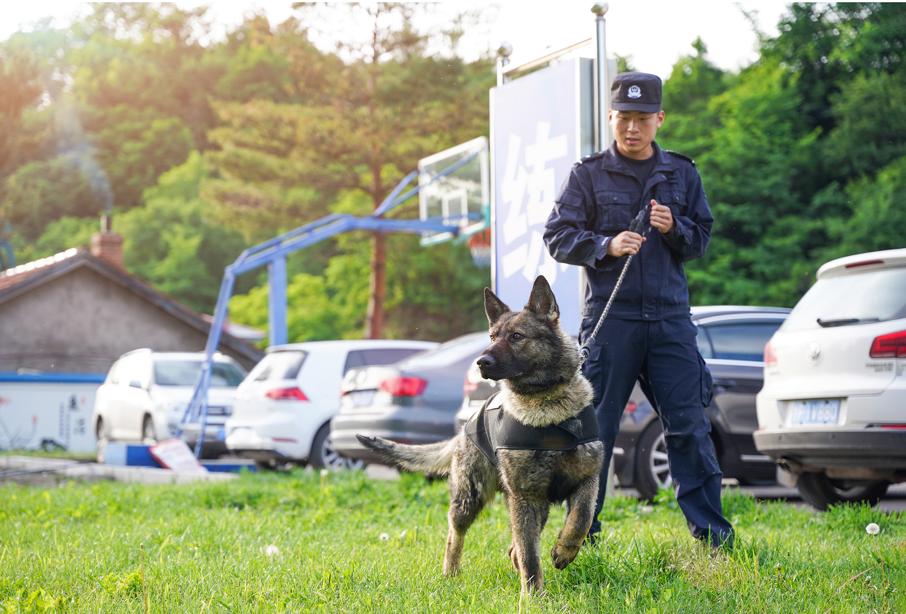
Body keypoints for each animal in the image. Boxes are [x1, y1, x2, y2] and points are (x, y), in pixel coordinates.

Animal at [356, 276, 604, 596]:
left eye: (516, 336)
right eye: (492, 336)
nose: (481, 362)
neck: (546, 404)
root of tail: (466, 427)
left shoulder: (587, 480)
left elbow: (581, 519)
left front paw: (564, 550)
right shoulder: (524, 497)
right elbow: (530, 556)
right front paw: (533, 597)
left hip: (532, 506)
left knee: (515, 547)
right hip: (470, 499)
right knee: (456, 535)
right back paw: (450, 574)